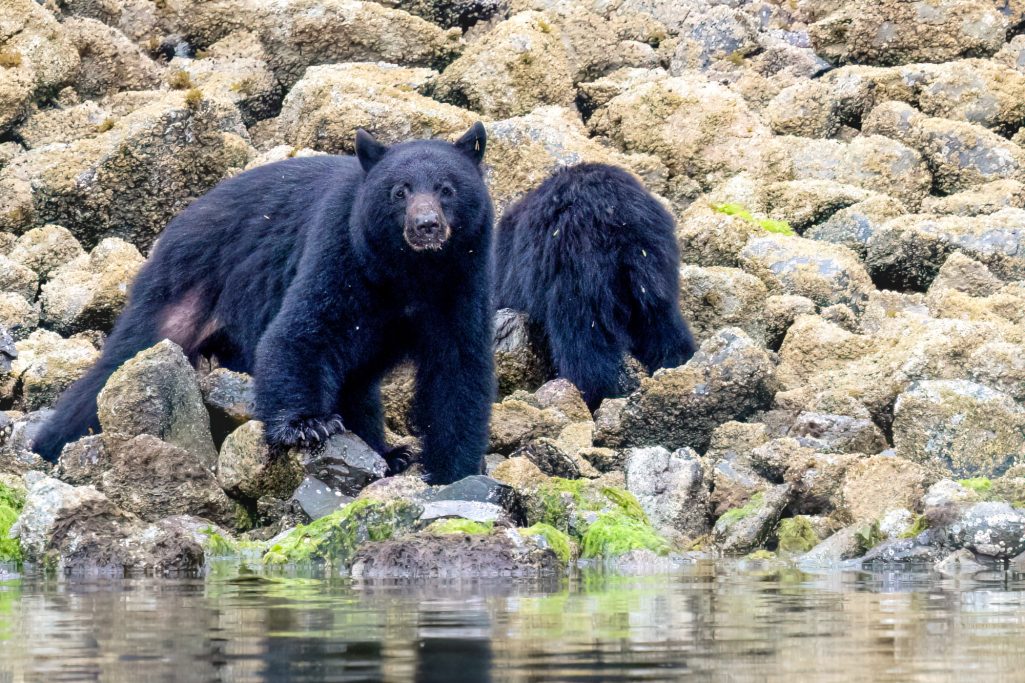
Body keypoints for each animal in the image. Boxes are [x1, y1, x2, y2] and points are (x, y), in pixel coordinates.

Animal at [33, 122, 496, 484]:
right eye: (400, 191)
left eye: (447, 189)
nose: (426, 225)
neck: (410, 273)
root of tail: (178, 221)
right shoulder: (341, 255)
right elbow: (303, 331)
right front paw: (307, 425)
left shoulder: (461, 284)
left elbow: (457, 370)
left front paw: (455, 468)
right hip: (185, 291)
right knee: (124, 361)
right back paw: (51, 443)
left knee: (358, 385)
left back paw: (388, 453)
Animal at [489, 162, 697, 406]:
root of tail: (619, 218)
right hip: (654, 268)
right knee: (661, 325)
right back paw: (676, 365)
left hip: (576, 276)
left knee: (582, 344)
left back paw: (585, 394)